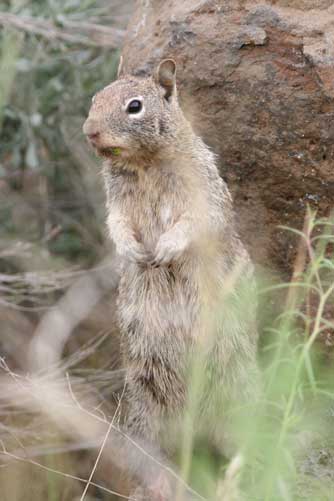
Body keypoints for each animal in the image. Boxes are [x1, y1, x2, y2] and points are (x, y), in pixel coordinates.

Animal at [83, 57, 258, 496]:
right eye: (94, 98)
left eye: (134, 106)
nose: (89, 131)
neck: (144, 164)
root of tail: (198, 425)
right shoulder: (117, 204)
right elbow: (117, 225)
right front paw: (133, 252)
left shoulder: (203, 196)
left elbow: (193, 224)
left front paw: (164, 249)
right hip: (145, 404)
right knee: (155, 454)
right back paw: (160, 483)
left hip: (241, 391)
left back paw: (233, 480)